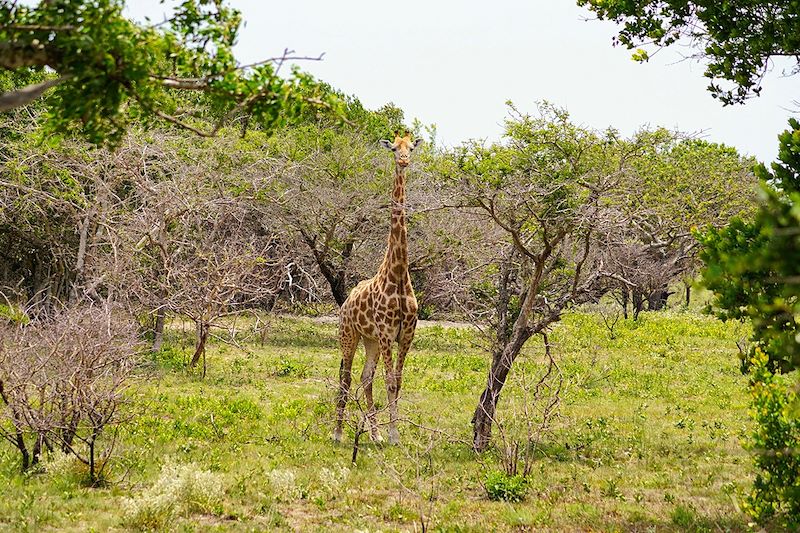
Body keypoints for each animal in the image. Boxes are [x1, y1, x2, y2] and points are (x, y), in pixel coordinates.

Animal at [334, 133, 424, 444]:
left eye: (411, 148)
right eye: (394, 148)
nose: (404, 161)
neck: (397, 274)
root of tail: (345, 302)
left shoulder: (405, 334)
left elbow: (397, 380)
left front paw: (391, 434)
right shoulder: (387, 333)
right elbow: (390, 381)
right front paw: (395, 434)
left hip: (370, 340)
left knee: (365, 377)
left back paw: (374, 435)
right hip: (349, 335)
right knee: (346, 376)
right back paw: (337, 433)